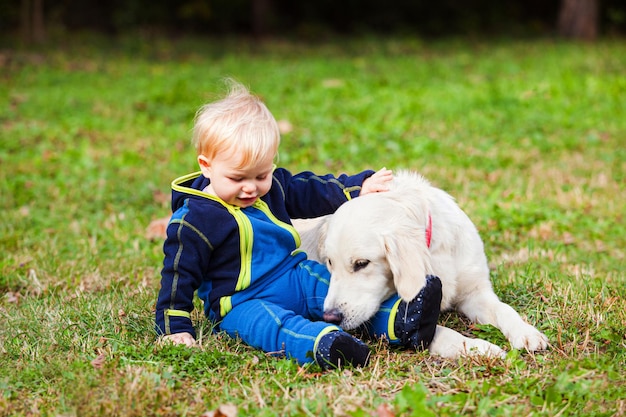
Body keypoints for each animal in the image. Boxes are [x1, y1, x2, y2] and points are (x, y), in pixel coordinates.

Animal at [294, 169, 544, 358]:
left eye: (362, 263)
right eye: (329, 263)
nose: (330, 317)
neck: (434, 251)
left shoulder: (475, 292)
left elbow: (504, 308)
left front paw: (525, 332)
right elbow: (438, 333)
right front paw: (480, 348)